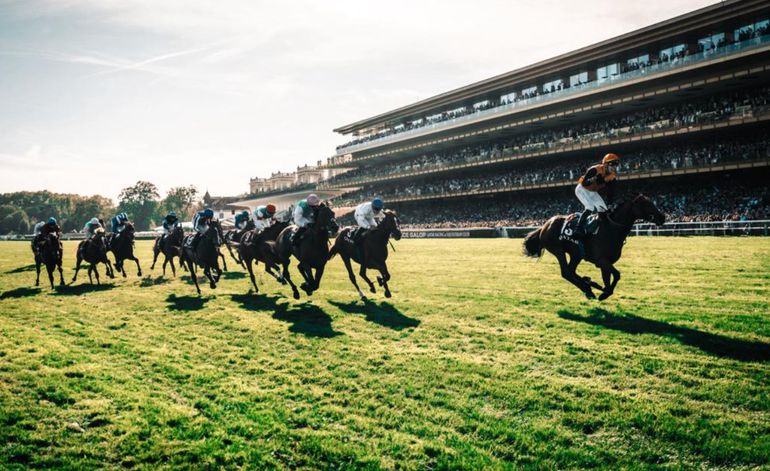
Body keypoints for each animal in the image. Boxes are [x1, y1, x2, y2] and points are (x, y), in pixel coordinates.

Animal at [520, 194, 664, 300]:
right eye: (646, 204)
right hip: (558, 250)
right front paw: (604, 293)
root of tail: (545, 225)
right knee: (566, 272)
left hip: (576, 254)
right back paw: (587, 288)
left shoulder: (605, 262)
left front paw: (602, 289)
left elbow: (607, 279)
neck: (611, 228)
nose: (662, 217)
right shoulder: (602, 260)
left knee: (571, 271)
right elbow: (617, 275)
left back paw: (588, 285)